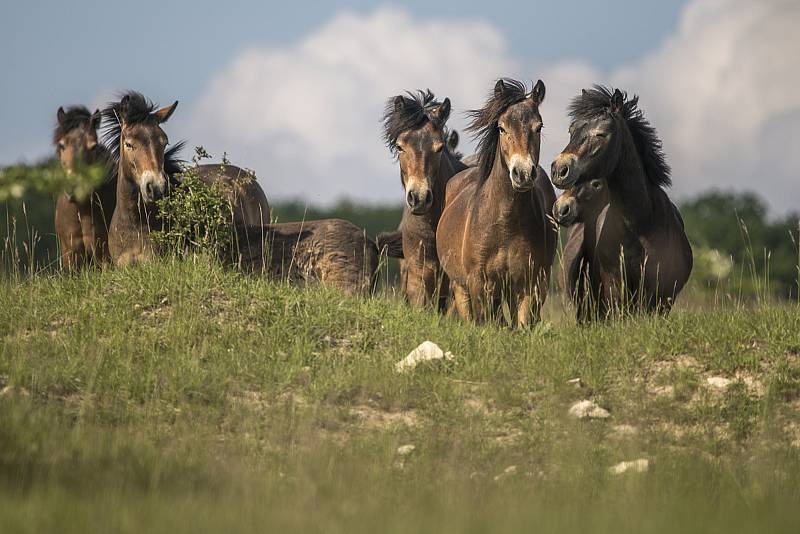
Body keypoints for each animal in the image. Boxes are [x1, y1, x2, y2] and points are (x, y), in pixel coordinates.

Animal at [438, 80, 556, 328]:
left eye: (539, 127)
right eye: (501, 128)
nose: (523, 173)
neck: (505, 223)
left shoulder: (528, 284)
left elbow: (522, 324)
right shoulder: (478, 282)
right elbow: (485, 321)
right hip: (462, 288)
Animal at [552, 86, 692, 320]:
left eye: (601, 134)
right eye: (572, 130)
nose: (559, 170)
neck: (640, 222)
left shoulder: (657, 292)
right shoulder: (615, 286)